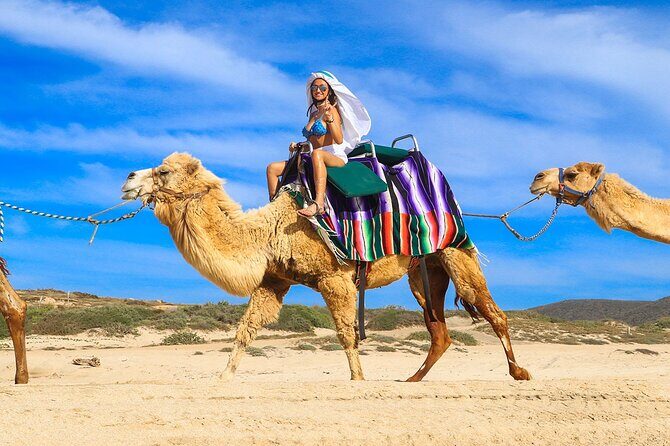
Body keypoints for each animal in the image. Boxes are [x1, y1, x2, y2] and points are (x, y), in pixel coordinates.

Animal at [121, 152, 531, 382]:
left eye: (163, 172)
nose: (128, 179)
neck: (274, 229)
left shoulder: (335, 277)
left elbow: (346, 335)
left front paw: (358, 379)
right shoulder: (273, 281)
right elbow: (245, 331)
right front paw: (223, 377)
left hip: (454, 251)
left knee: (491, 310)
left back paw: (519, 372)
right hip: (423, 269)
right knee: (439, 330)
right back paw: (412, 379)